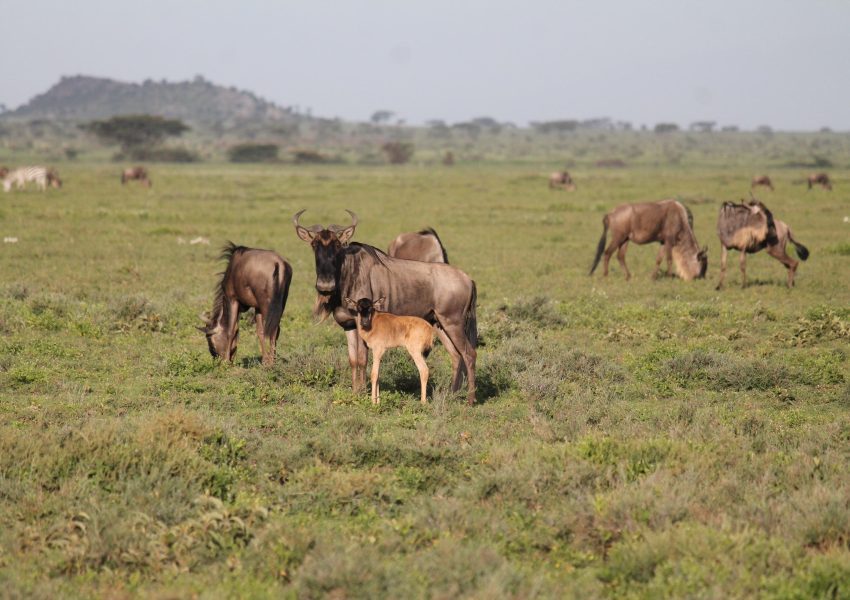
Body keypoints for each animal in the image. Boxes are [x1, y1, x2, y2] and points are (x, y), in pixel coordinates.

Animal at [293, 210, 479, 404]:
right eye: (314, 244)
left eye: (337, 245)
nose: (325, 285)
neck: (347, 274)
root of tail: (468, 279)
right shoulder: (349, 326)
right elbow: (353, 360)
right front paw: (355, 393)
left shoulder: (363, 325)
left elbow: (362, 359)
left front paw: (363, 394)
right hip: (439, 324)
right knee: (456, 355)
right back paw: (452, 395)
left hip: (453, 323)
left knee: (469, 354)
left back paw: (470, 400)